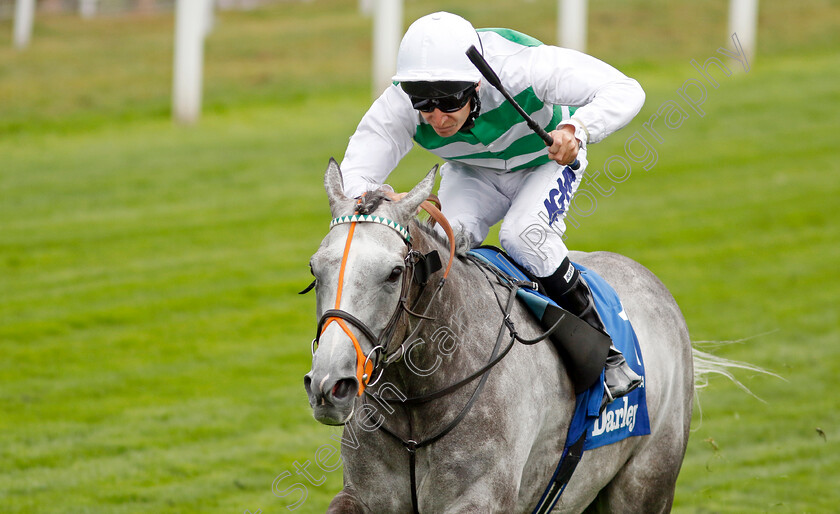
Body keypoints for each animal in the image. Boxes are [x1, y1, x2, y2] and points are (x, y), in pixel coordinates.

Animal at [306, 159, 692, 508]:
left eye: (394, 272)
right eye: (314, 268)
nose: (330, 384)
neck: (416, 401)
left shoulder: (479, 498)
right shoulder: (362, 496)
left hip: (646, 481)